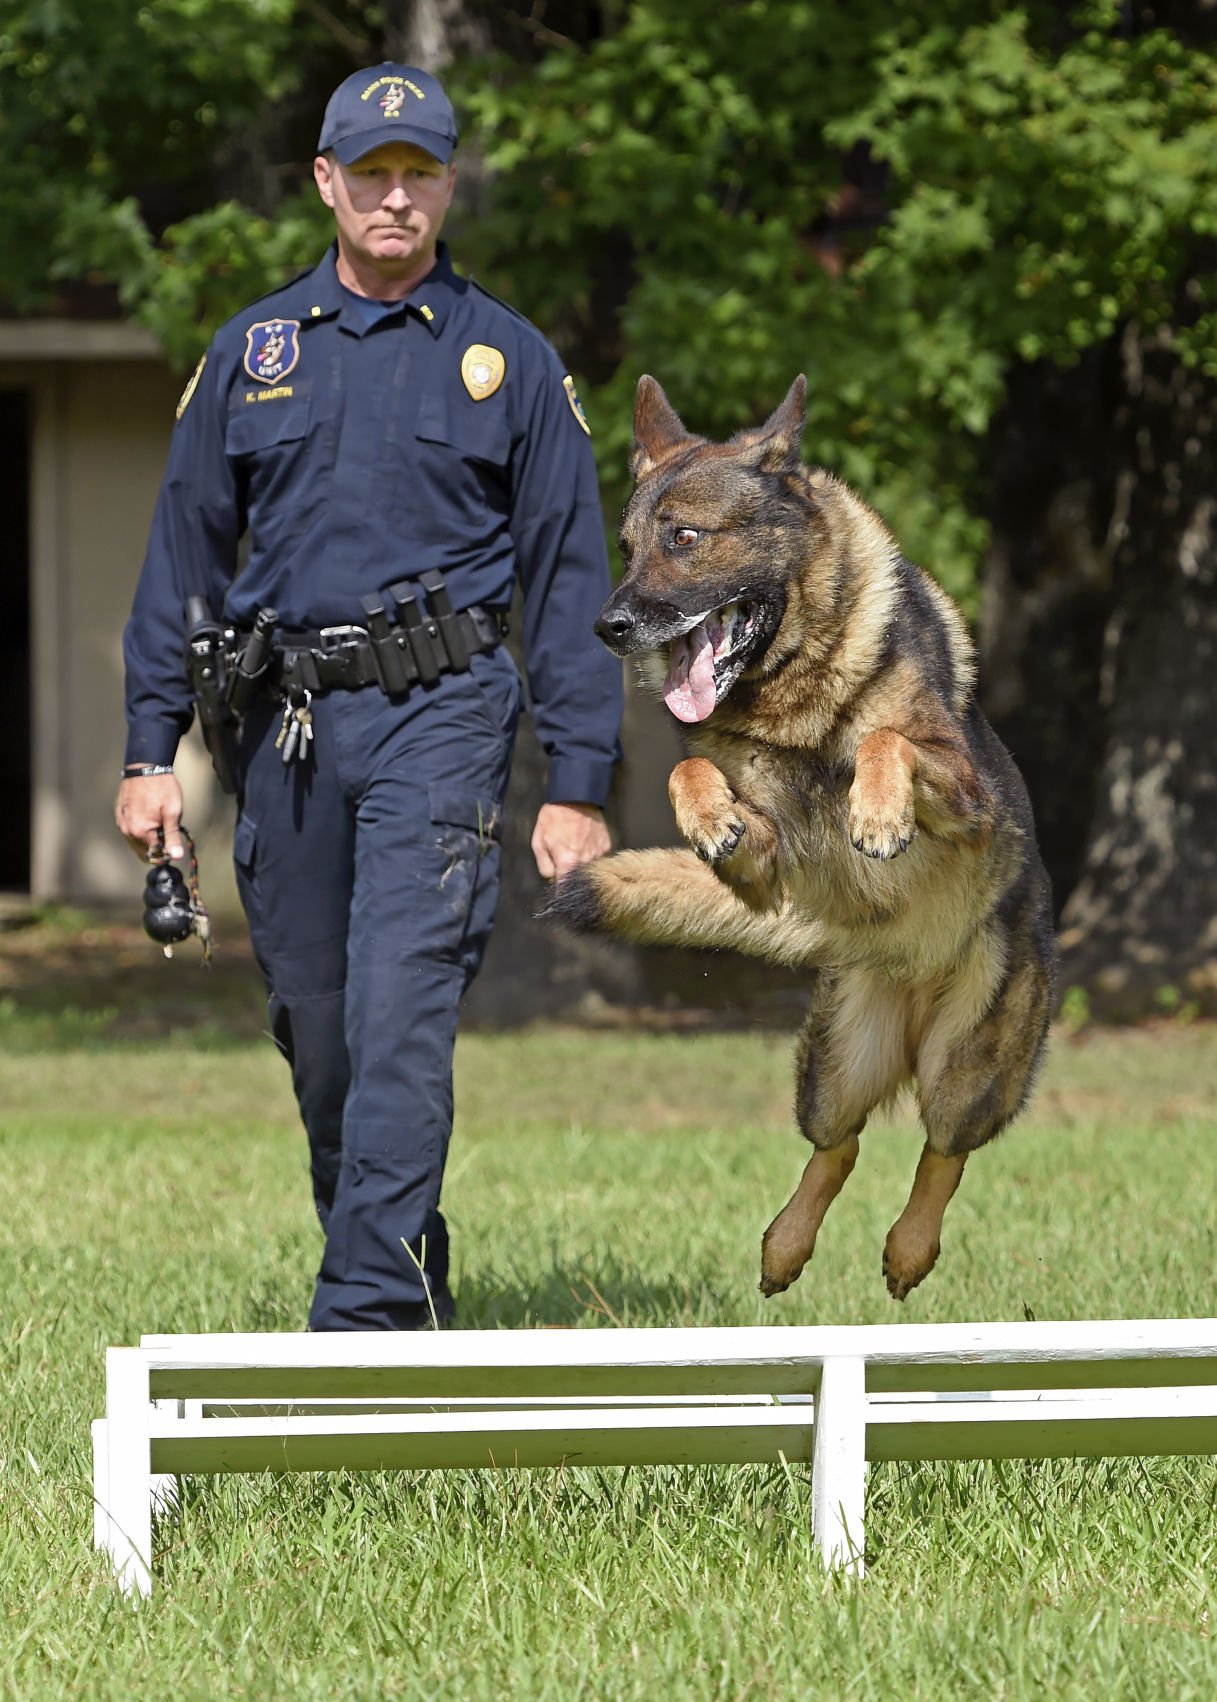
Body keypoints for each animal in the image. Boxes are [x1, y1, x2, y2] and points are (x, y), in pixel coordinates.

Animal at [551, 376, 1055, 1300]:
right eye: (626, 546)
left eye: (684, 538)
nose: (609, 627)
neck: (794, 696)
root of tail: (906, 973)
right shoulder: (766, 861)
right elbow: (691, 770)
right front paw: (710, 817)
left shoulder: (966, 796)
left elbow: (886, 739)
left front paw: (877, 814)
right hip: (835, 1060)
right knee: (838, 1144)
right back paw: (785, 1246)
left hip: (970, 1063)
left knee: (941, 1150)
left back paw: (908, 1249)